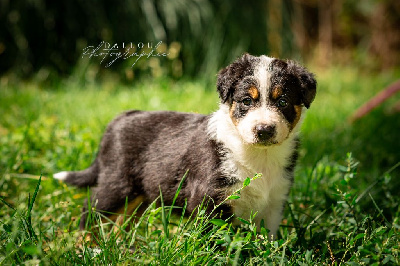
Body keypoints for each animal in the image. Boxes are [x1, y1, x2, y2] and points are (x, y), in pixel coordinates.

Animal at [54, 53, 316, 238]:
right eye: (246, 101)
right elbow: (215, 241)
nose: (263, 130)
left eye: (283, 101)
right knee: (90, 210)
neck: (258, 155)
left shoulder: (274, 203)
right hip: (117, 183)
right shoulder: (208, 199)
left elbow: (267, 241)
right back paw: (87, 247)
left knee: (122, 222)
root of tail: (120, 118)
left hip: (140, 195)